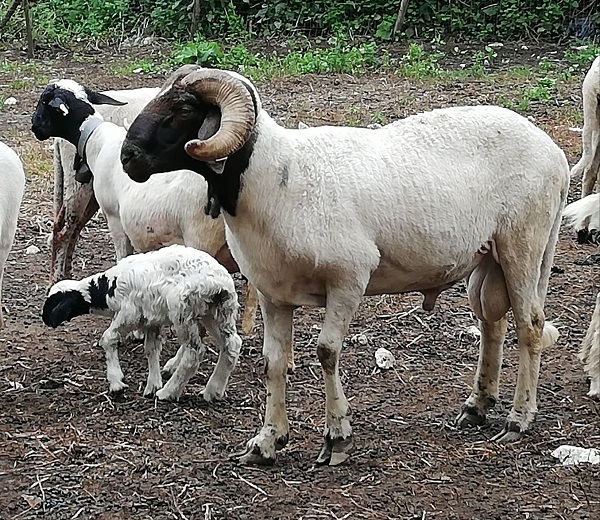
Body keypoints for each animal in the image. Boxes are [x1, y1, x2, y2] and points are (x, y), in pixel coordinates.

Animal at [31, 79, 258, 336]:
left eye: (44, 101)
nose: (34, 126)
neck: (97, 140)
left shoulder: (115, 218)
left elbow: (123, 258)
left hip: (201, 239)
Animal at [40, 245, 244, 402]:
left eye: (53, 302)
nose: (45, 319)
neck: (107, 288)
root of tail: (218, 285)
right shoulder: (151, 319)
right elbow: (151, 348)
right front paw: (152, 384)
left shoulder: (129, 313)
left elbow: (108, 338)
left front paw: (116, 382)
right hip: (218, 313)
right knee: (231, 345)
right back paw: (213, 391)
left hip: (182, 311)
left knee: (194, 352)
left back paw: (168, 393)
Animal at [120, 66, 568, 468]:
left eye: (182, 109)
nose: (127, 157)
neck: (278, 179)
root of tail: (555, 152)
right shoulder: (272, 293)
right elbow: (273, 362)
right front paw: (266, 442)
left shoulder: (349, 280)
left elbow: (327, 352)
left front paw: (336, 437)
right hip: (488, 257)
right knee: (493, 323)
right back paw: (476, 407)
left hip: (524, 244)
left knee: (529, 325)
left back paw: (518, 419)